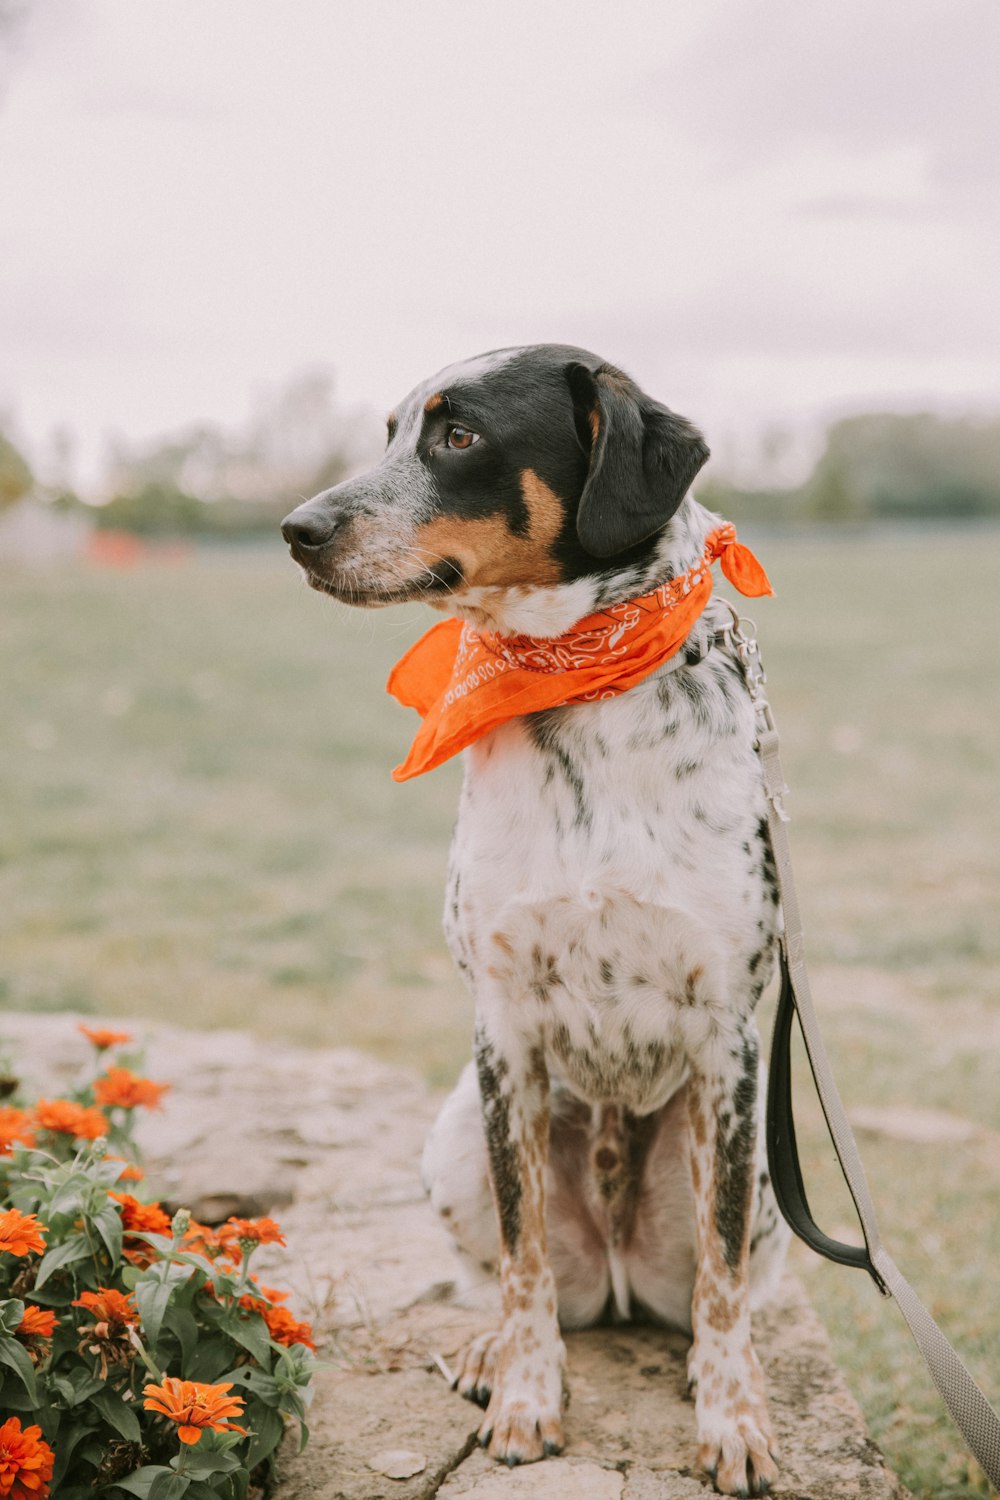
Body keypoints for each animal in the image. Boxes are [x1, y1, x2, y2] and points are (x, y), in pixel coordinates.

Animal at [281, 345, 791, 1494]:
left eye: (459, 435)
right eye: (389, 432)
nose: (296, 527)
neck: (576, 693)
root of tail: (613, 1276)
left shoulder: (728, 1041)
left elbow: (725, 1278)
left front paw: (733, 1417)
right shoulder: (503, 1029)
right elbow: (519, 1262)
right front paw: (524, 1394)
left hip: (764, 1170)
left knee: (718, 1280)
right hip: (456, 1138)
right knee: (522, 1274)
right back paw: (491, 1348)